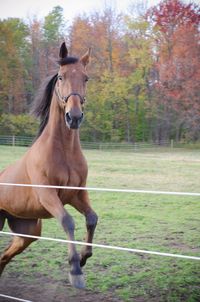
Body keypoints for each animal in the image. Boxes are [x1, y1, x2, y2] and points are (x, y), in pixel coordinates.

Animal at [0, 42, 97, 288]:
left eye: (86, 78)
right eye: (61, 77)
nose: (74, 117)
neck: (63, 152)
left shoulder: (76, 194)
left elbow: (92, 218)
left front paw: (84, 258)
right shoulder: (48, 195)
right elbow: (67, 221)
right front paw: (75, 270)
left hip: (27, 233)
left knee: (3, 257)